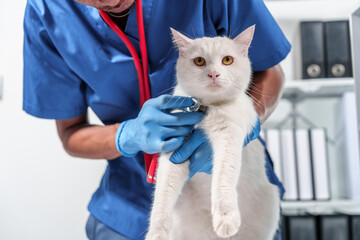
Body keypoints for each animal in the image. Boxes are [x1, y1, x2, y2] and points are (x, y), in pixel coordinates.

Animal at [145, 26, 280, 240]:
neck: (206, 109)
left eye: (227, 60)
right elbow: (163, 195)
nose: (214, 74)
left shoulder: (229, 140)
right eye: (199, 61)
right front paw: (156, 233)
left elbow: (223, 178)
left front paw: (225, 219)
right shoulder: (174, 152)